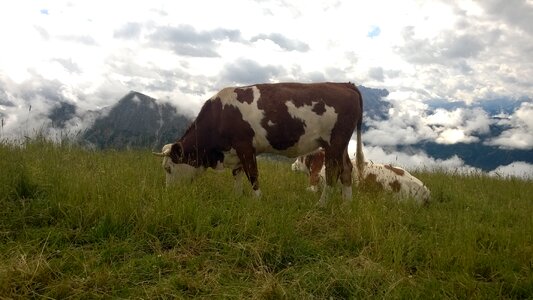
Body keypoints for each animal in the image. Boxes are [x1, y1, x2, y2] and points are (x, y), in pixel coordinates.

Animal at [152, 82, 364, 205]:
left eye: (168, 168)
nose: (169, 193)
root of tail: (345, 84)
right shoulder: (235, 151)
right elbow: (237, 174)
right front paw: (237, 198)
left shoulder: (245, 146)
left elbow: (252, 175)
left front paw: (258, 201)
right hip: (341, 145)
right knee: (346, 169)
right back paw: (346, 205)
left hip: (334, 141)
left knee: (333, 172)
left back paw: (321, 204)